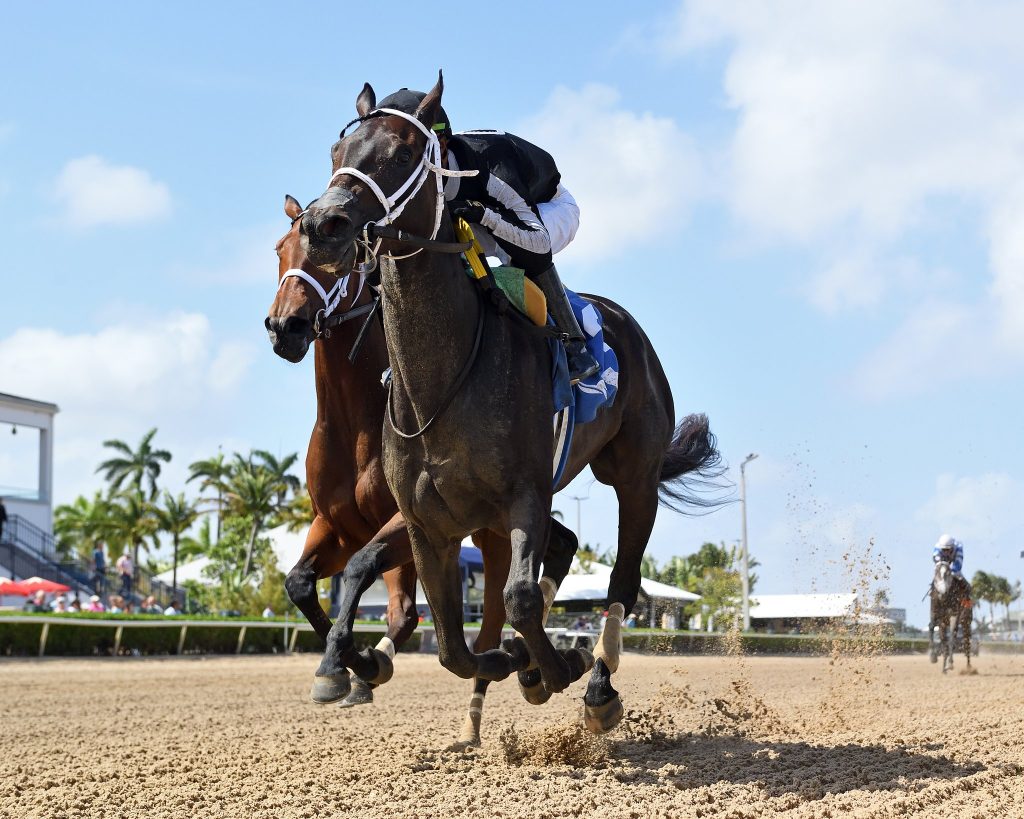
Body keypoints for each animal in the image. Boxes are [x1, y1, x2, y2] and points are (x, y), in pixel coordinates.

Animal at [266, 196, 581, 745]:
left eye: (335, 254)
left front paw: (362, 665)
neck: (355, 421)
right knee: (559, 544)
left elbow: (395, 603)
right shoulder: (335, 523)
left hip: (493, 533)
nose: (286, 327)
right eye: (280, 250)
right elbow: (300, 583)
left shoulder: (404, 521)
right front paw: (341, 667)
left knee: (494, 616)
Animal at [299, 73, 721, 734]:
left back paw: (597, 684)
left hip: (634, 478)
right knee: (564, 550)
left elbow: (515, 601)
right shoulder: (427, 525)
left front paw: (556, 665)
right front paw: (509, 662)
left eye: (400, 154)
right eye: (336, 153)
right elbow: (452, 644)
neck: (442, 382)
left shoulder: (523, 495)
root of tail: (628, 326)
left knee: (622, 583)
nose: (324, 224)